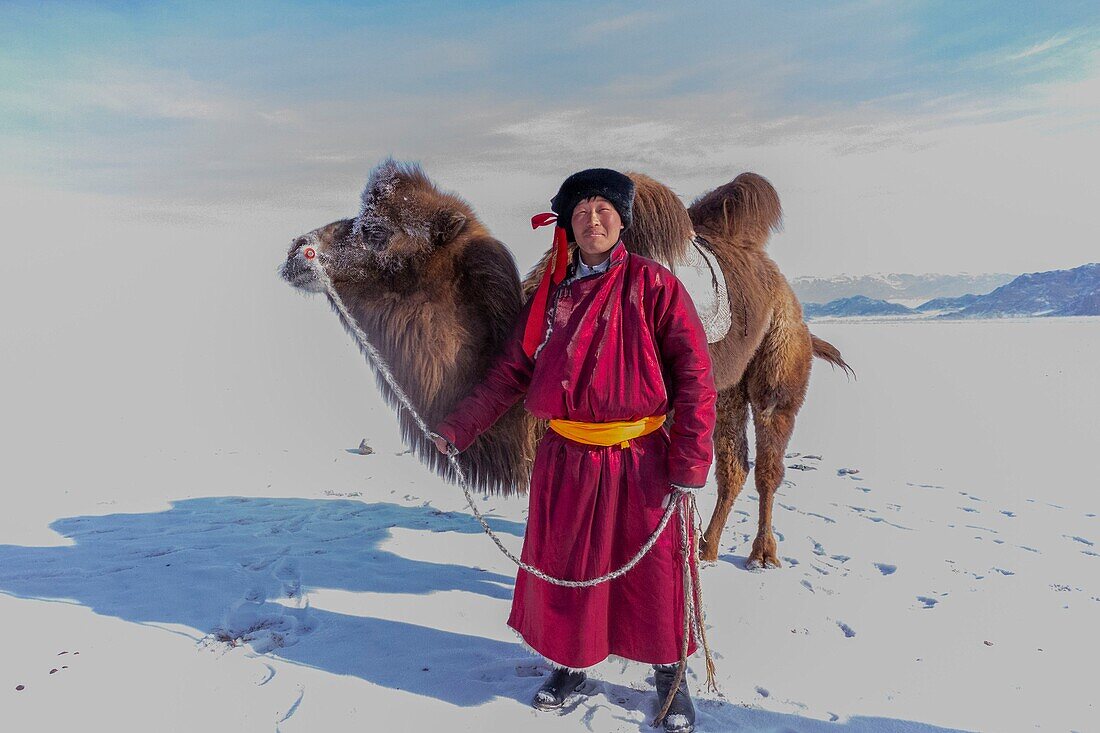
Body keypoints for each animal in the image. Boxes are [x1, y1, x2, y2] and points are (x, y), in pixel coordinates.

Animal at [277, 158, 849, 563]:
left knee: (768, 460)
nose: (297, 249)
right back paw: (708, 550)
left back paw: (760, 555)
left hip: (777, 361)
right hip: (726, 388)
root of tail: (778, 282)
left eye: (377, 230)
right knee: (733, 465)